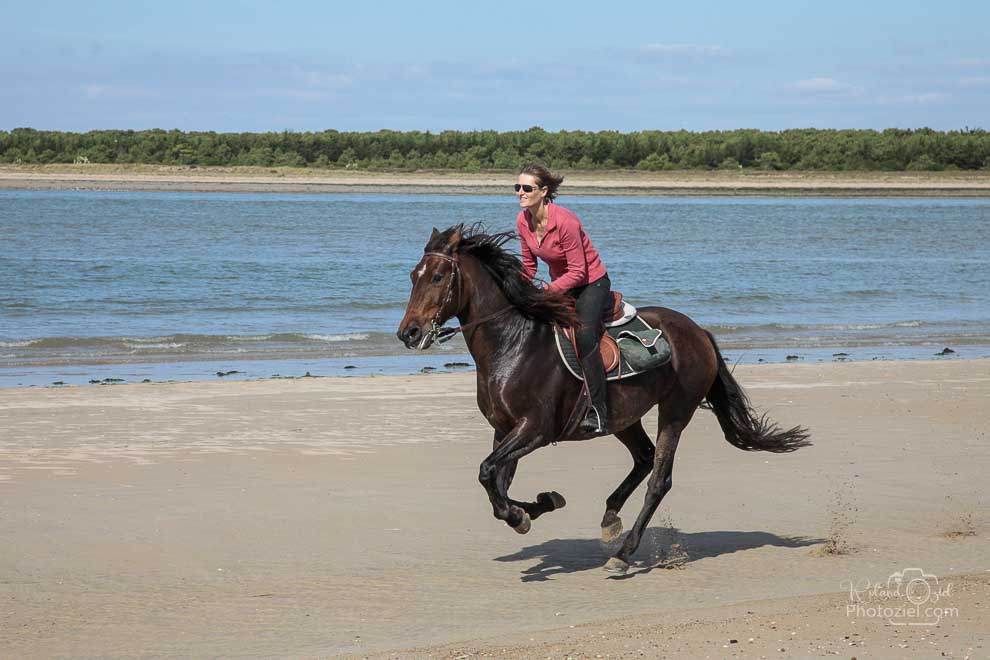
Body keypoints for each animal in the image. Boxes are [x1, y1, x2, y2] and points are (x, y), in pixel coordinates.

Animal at [398, 224, 812, 576]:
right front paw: (538, 506)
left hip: (675, 411)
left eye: (437, 277)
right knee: (643, 458)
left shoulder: (534, 430)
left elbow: (488, 474)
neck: (513, 343)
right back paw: (611, 519)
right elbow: (496, 484)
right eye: (413, 276)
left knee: (659, 479)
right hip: (623, 417)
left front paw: (524, 514)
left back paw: (623, 554)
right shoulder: (504, 431)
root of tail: (699, 331)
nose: (409, 333)